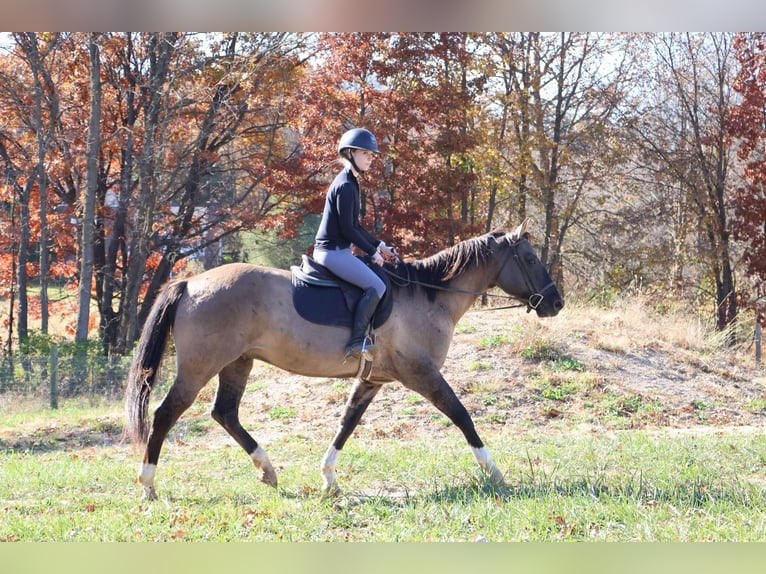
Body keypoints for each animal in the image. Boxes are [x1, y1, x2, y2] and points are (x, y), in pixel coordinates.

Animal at [124, 220, 564, 500]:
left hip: (238, 362)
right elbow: (462, 415)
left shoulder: (373, 379)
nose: (556, 303)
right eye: (529, 258)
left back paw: (267, 469)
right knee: (166, 414)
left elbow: (346, 424)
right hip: (200, 367)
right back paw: (148, 484)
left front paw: (329, 480)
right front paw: (495, 473)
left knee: (225, 413)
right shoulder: (422, 373)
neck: (428, 296)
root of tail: (190, 282)